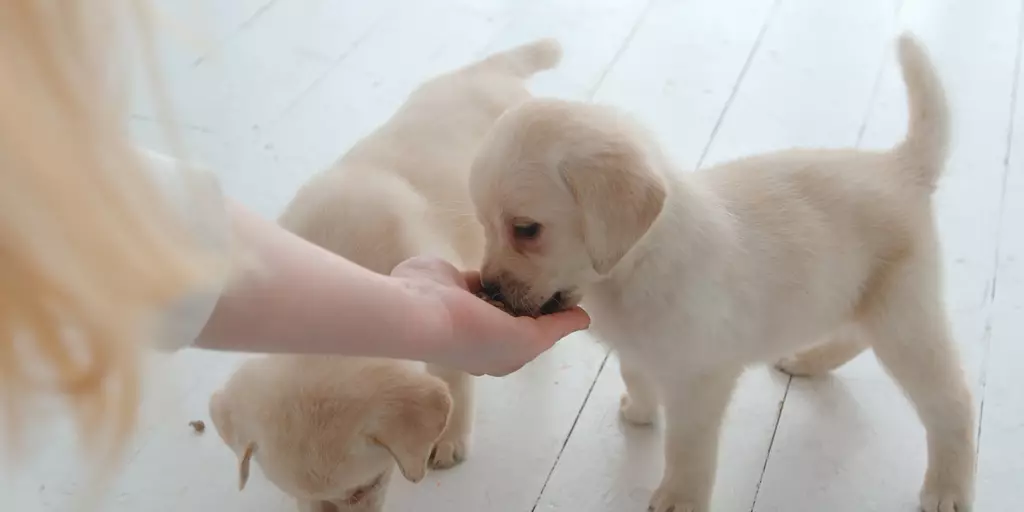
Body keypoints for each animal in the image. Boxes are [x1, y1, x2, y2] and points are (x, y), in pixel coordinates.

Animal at [468, 35, 970, 512]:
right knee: (854, 335)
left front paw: (680, 497)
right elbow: (636, 373)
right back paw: (808, 359)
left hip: (904, 318)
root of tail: (901, 167)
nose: (489, 288)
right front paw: (641, 409)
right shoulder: (637, 349)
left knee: (952, 403)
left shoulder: (700, 380)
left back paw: (948, 487)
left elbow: (687, 449)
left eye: (526, 230)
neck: (636, 268)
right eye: (485, 226)